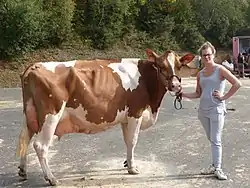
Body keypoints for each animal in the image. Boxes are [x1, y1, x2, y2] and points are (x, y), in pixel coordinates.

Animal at [16, 48, 195, 185]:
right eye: (160, 66)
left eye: (179, 66)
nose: (176, 85)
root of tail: (34, 66)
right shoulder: (135, 112)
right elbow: (133, 140)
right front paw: (133, 168)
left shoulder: (125, 117)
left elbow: (127, 141)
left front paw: (127, 163)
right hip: (51, 115)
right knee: (40, 145)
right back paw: (51, 178)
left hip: (29, 114)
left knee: (25, 138)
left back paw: (23, 171)